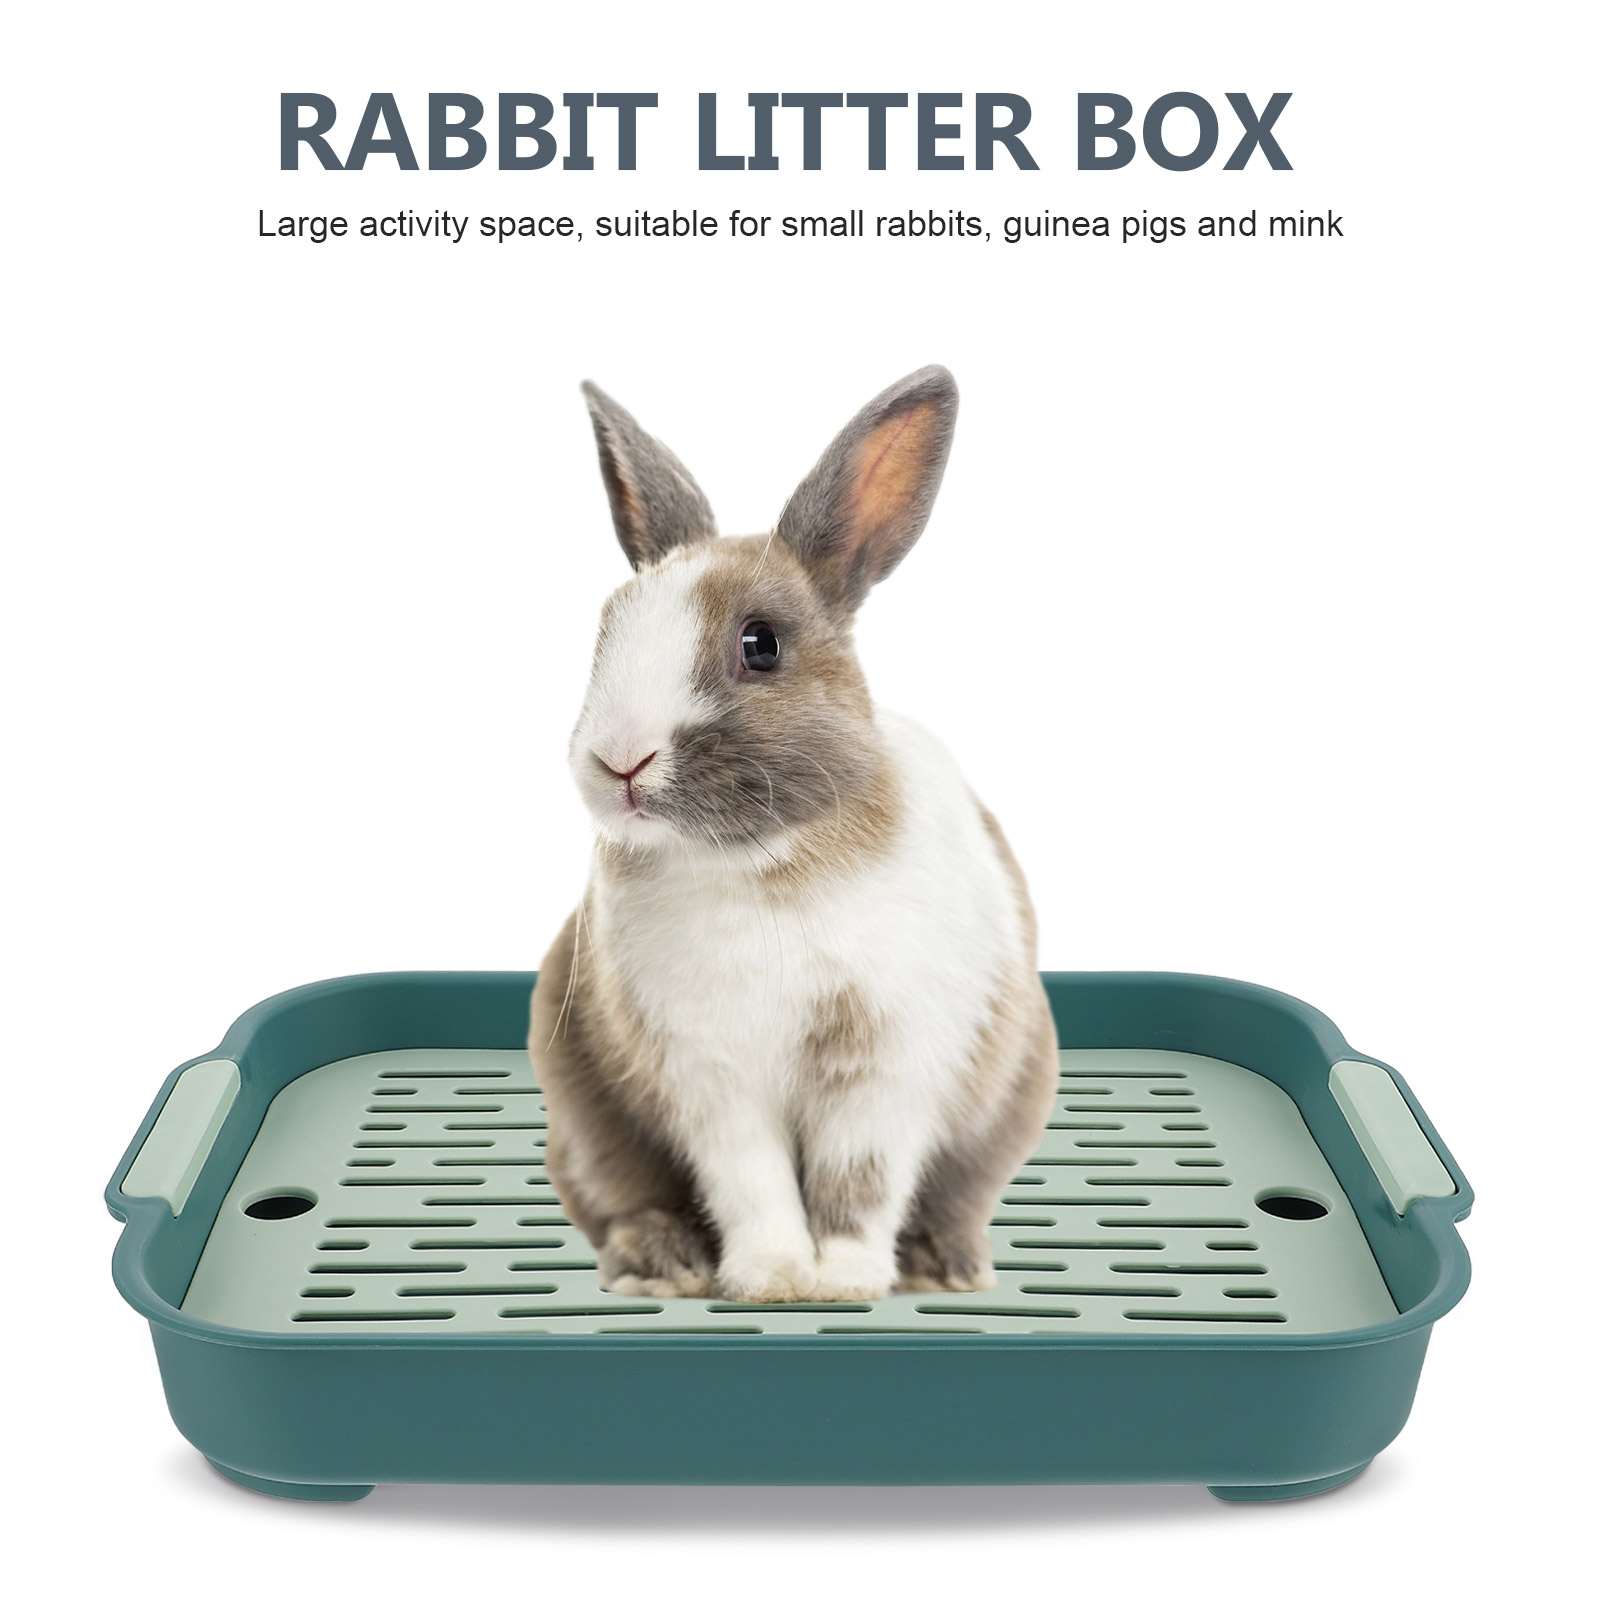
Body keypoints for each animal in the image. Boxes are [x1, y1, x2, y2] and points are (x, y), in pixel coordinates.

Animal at [529, 365, 1057, 1304]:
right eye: (606, 631)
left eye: (760, 644)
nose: (619, 760)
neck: (759, 864)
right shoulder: (710, 1079)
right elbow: (753, 1181)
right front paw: (773, 1278)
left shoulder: (883, 1068)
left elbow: (859, 1180)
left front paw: (843, 1280)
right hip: (584, 1121)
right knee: (621, 1198)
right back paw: (663, 1266)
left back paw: (945, 1268)